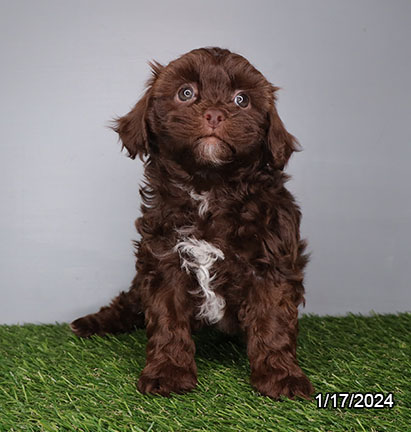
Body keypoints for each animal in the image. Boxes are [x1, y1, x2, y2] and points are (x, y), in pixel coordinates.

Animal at [71, 45, 316, 400]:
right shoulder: (164, 260)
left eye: (242, 99)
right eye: (186, 93)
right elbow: (167, 321)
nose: (214, 114)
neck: (209, 187)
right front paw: (169, 371)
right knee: (128, 302)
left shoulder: (271, 262)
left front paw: (280, 375)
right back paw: (91, 323)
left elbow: (272, 322)